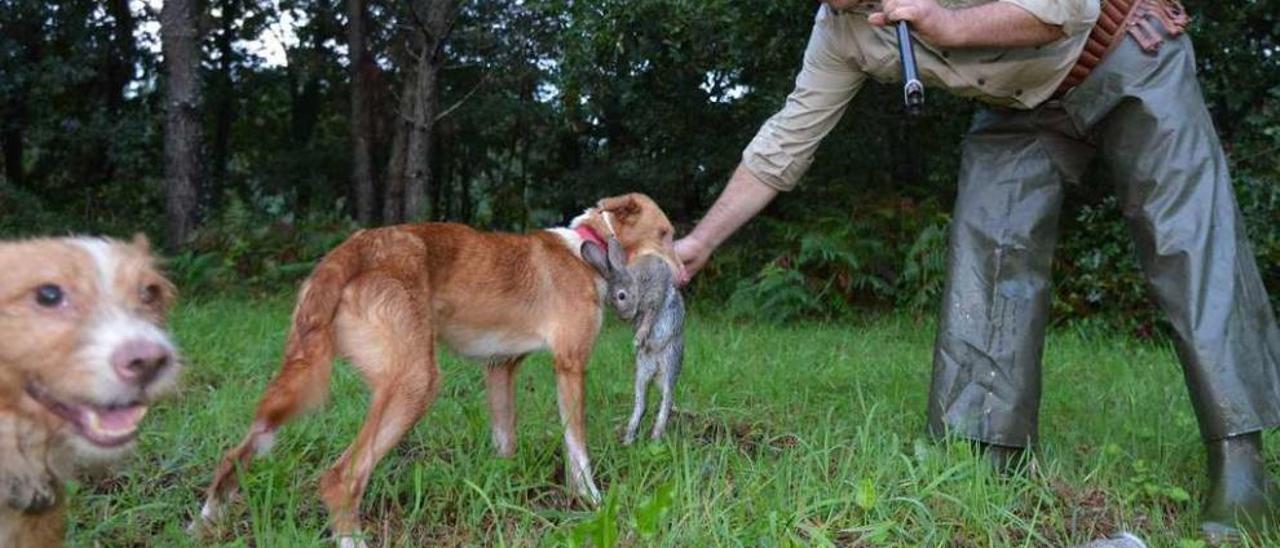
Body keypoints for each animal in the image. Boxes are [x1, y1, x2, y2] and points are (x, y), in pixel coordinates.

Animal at [192, 192, 680, 542]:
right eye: (665, 233)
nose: (683, 275)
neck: (587, 247)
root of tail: (357, 246)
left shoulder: (500, 368)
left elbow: (505, 442)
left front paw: (501, 490)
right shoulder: (571, 364)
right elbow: (578, 449)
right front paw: (591, 500)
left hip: (298, 380)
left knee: (234, 456)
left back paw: (202, 524)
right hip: (415, 384)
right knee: (341, 479)